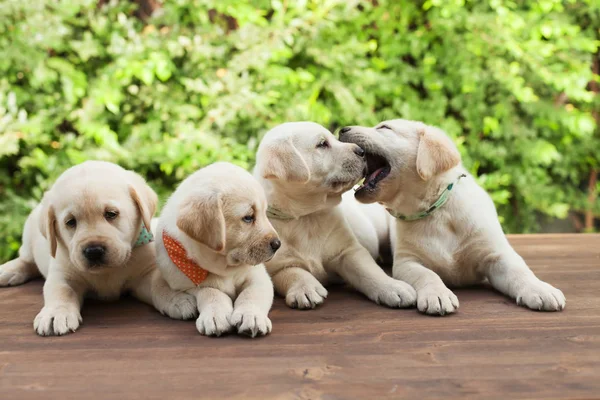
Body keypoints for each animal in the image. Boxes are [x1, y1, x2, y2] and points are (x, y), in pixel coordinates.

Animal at [0, 161, 197, 336]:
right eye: (70, 222)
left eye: (111, 214)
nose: (93, 251)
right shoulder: (63, 274)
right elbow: (61, 291)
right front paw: (55, 313)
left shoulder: (144, 275)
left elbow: (159, 284)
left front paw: (177, 298)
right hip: (28, 235)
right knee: (26, 261)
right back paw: (8, 271)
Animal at [156, 162, 280, 338]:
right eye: (248, 217)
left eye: (264, 213)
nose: (277, 244)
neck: (224, 268)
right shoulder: (187, 285)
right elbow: (211, 293)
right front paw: (216, 316)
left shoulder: (259, 277)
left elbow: (251, 294)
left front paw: (252, 317)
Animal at [253, 122, 418, 310]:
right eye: (322, 144)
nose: (361, 151)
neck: (306, 217)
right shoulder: (277, 266)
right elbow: (294, 273)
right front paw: (306, 289)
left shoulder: (348, 251)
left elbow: (368, 271)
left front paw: (393, 287)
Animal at [340, 119, 564, 316]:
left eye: (384, 127)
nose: (342, 129)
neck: (434, 210)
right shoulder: (407, 261)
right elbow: (428, 274)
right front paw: (437, 295)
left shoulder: (496, 255)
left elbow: (520, 271)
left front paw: (540, 289)